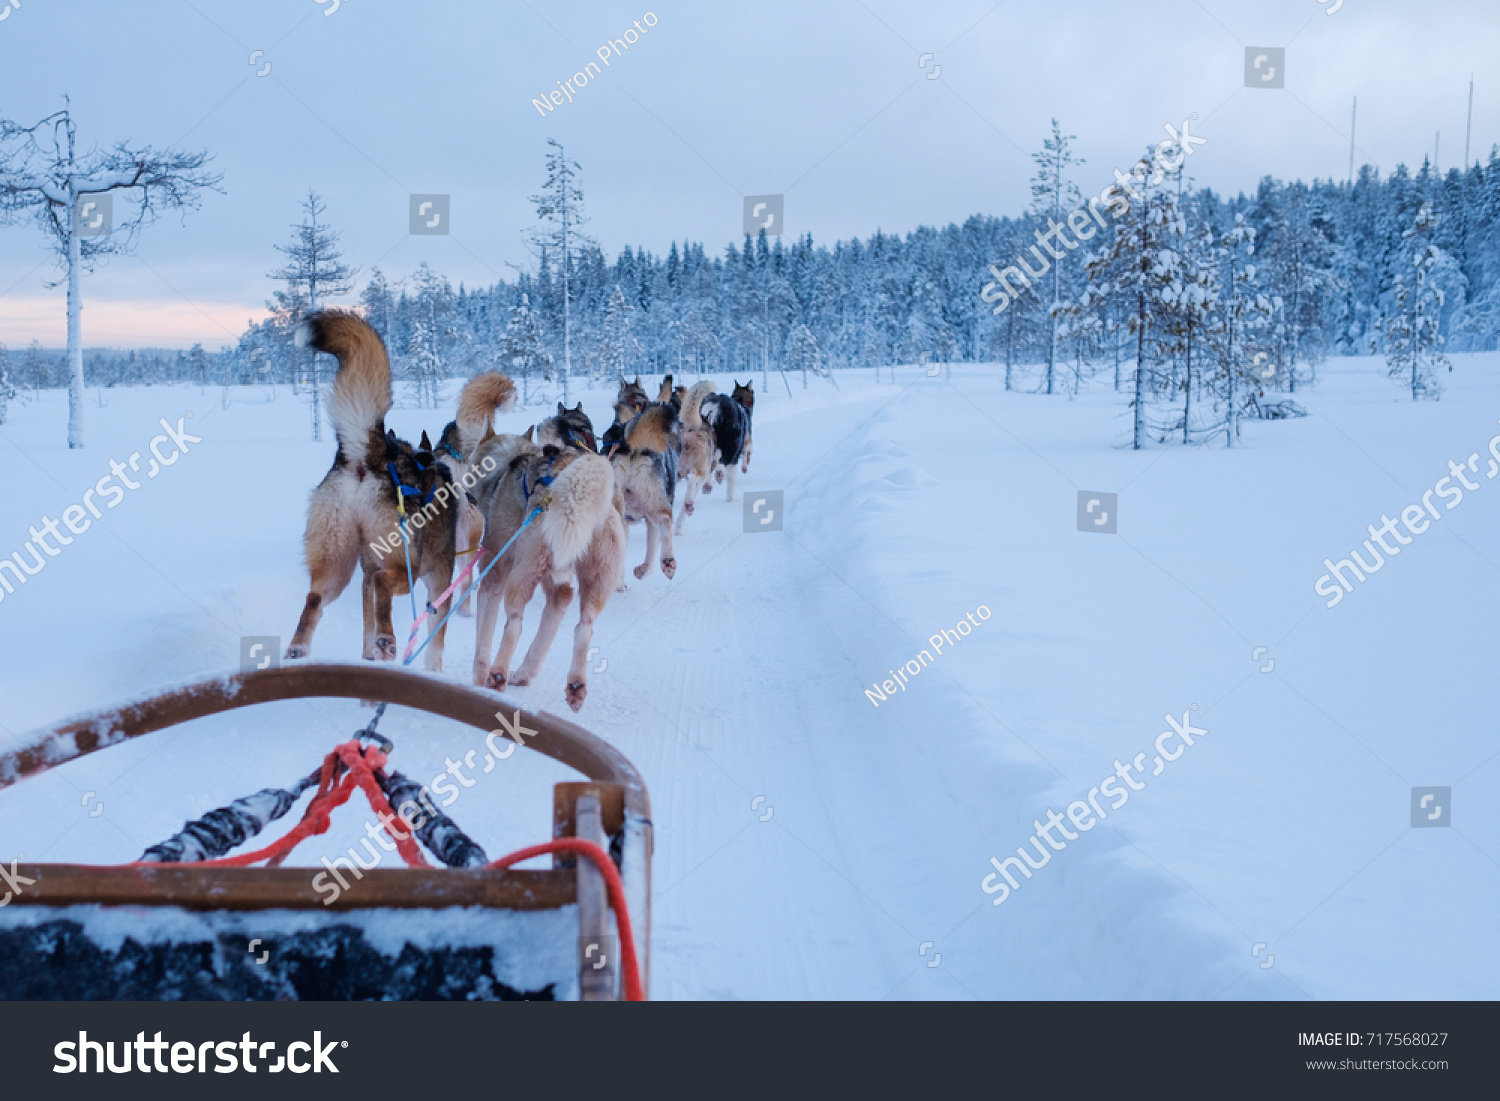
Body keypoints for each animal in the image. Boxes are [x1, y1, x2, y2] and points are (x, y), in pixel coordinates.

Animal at [282, 312, 468, 672]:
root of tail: (369, 454)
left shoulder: (365, 575)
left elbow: (369, 614)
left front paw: (370, 656)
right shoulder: (440, 583)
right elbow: (435, 642)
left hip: (337, 563)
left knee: (316, 597)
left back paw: (298, 650)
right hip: (404, 564)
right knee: (385, 582)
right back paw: (387, 639)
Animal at [468, 426, 621, 711]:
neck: (508, 465)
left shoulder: (495, 569)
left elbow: (483, 639)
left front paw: (479, 680)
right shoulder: (557, 588)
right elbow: (548, 628)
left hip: (522, 574)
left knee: (514, 625)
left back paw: (498, 676)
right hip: (594, 580)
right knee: (584, 627)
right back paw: (571, 685)